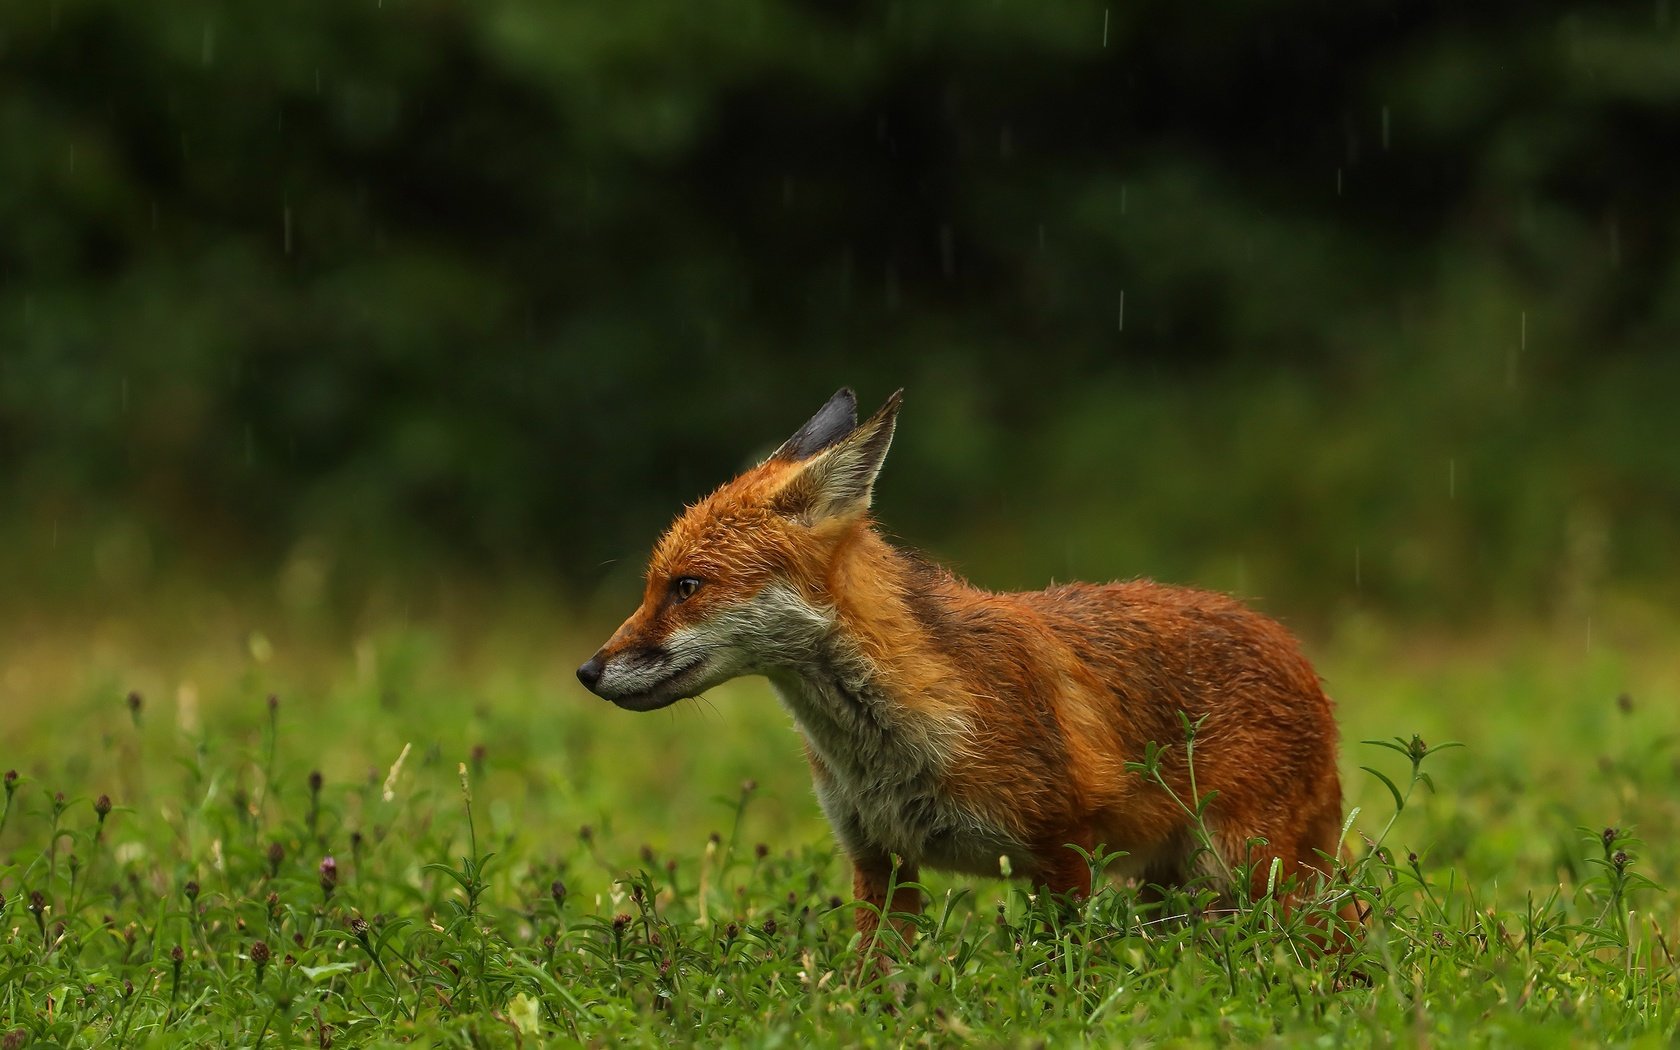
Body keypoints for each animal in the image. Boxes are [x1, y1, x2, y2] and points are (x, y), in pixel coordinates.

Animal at [577, 389, 1364, 947]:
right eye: (654, 586)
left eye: (686, 587)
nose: (588, 670)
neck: (892, 742)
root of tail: (1293, 647)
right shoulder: (880, 861)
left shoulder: (1063, 852)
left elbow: (1064, 975)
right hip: (1174, 891)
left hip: (1243, 874)